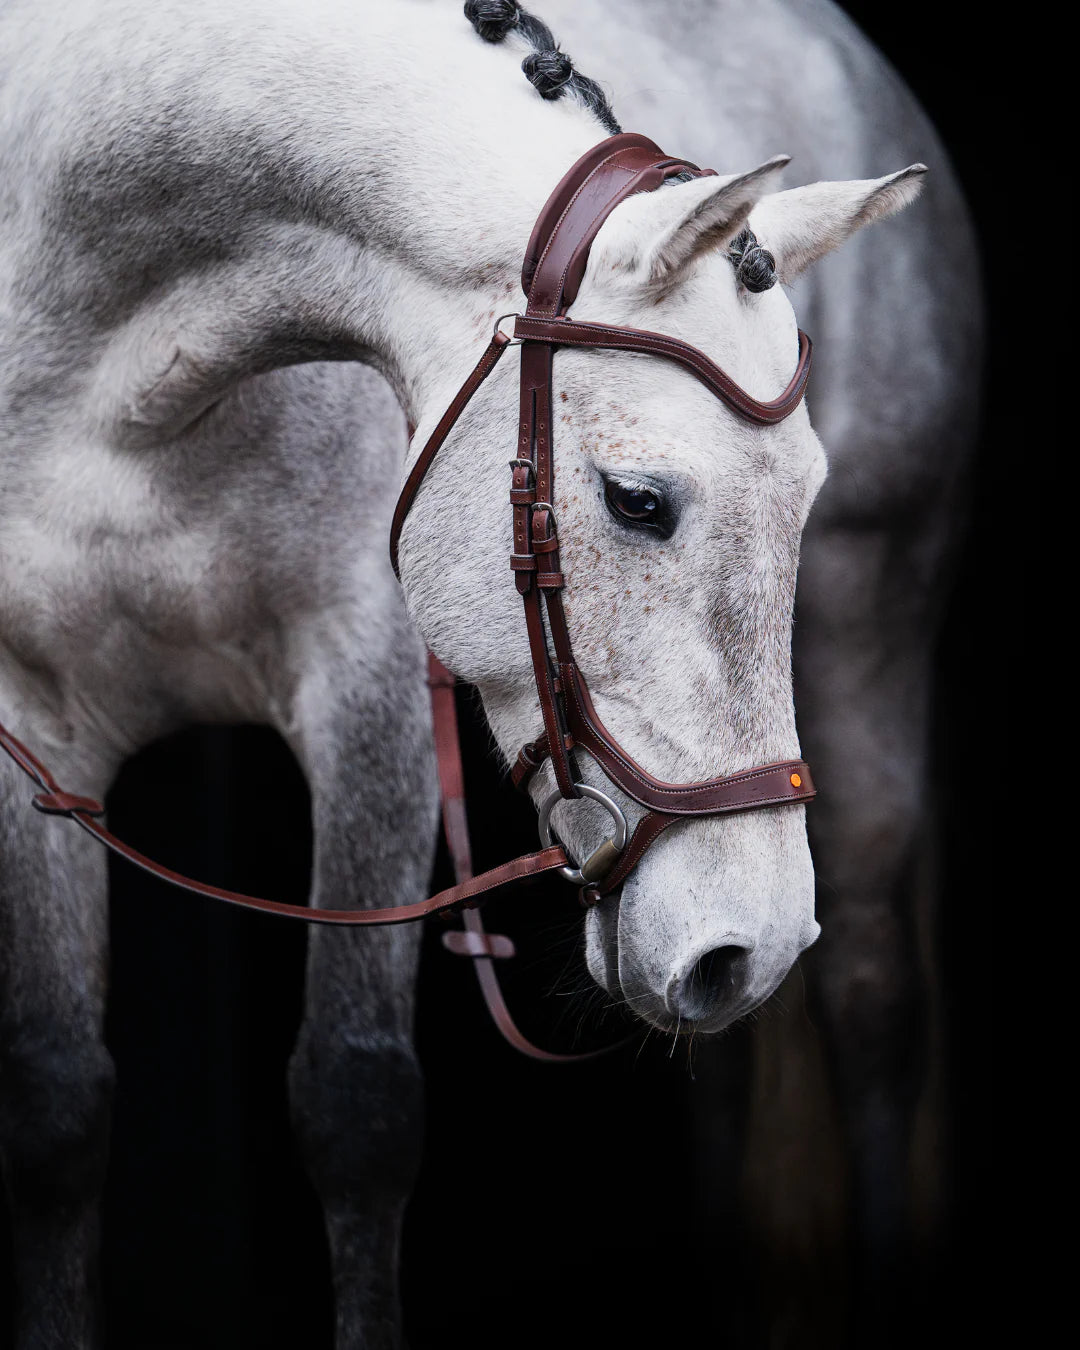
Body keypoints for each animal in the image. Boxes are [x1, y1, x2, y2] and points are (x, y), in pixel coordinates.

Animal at [0, 1, 981, 1346]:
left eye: (808, 499)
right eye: (638, 500)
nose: (752, 939)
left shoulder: (364, 688)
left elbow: (356, 1106)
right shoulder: (30, 730)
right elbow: (54, 1112)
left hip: (875, 634)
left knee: (878, 1005)